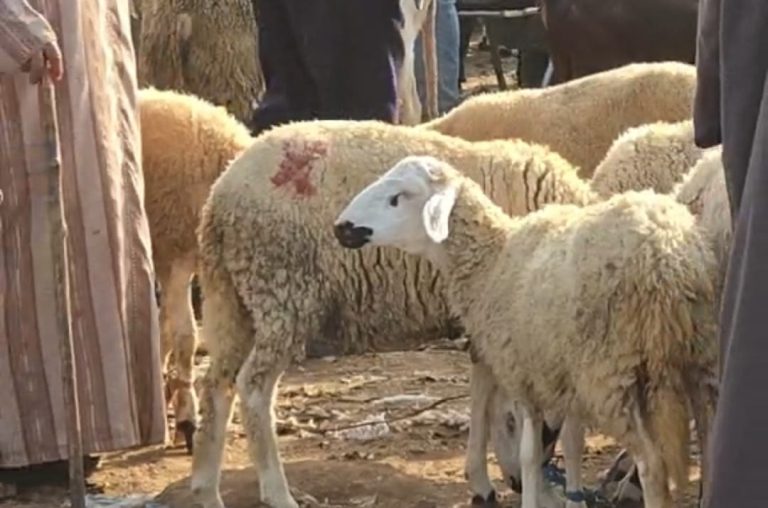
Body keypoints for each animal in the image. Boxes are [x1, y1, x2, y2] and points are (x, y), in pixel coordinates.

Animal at [189, 120, 598, 508]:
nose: (515, 483)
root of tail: (219, 197)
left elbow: (482, 394)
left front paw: (486, 479)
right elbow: (496, 403)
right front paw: (521, 486)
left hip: (234, 300)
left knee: (216, 385)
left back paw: (206, 488)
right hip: (282, 292)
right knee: (253, 388)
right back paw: (277, 492)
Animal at [333, 155, 719, 508]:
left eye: (397, 197)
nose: (340, 227)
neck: (491, 262)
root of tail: (668, 255)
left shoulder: (523, 374)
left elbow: (529, 455)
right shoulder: (562, 375)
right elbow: (572, 444)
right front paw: (573, 495)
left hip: (612, 373)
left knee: (653, 466)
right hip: (699, 358)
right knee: (710, 441)